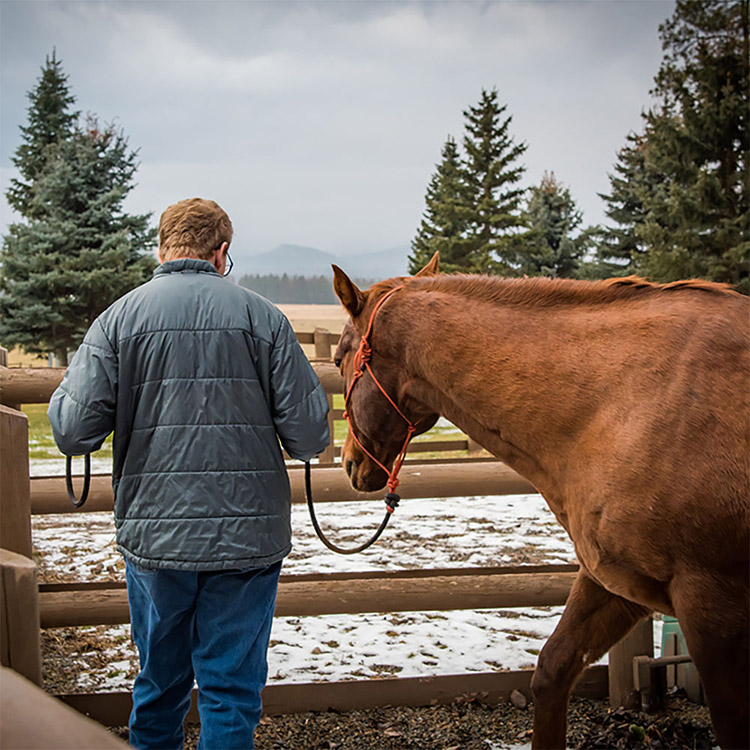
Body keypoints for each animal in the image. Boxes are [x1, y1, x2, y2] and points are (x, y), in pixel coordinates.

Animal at [334, 256, 750, 748]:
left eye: (338, 358)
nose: (349, 462)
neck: (624, 404)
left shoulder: (712, 607)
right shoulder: (615, 582)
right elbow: (552, 671)